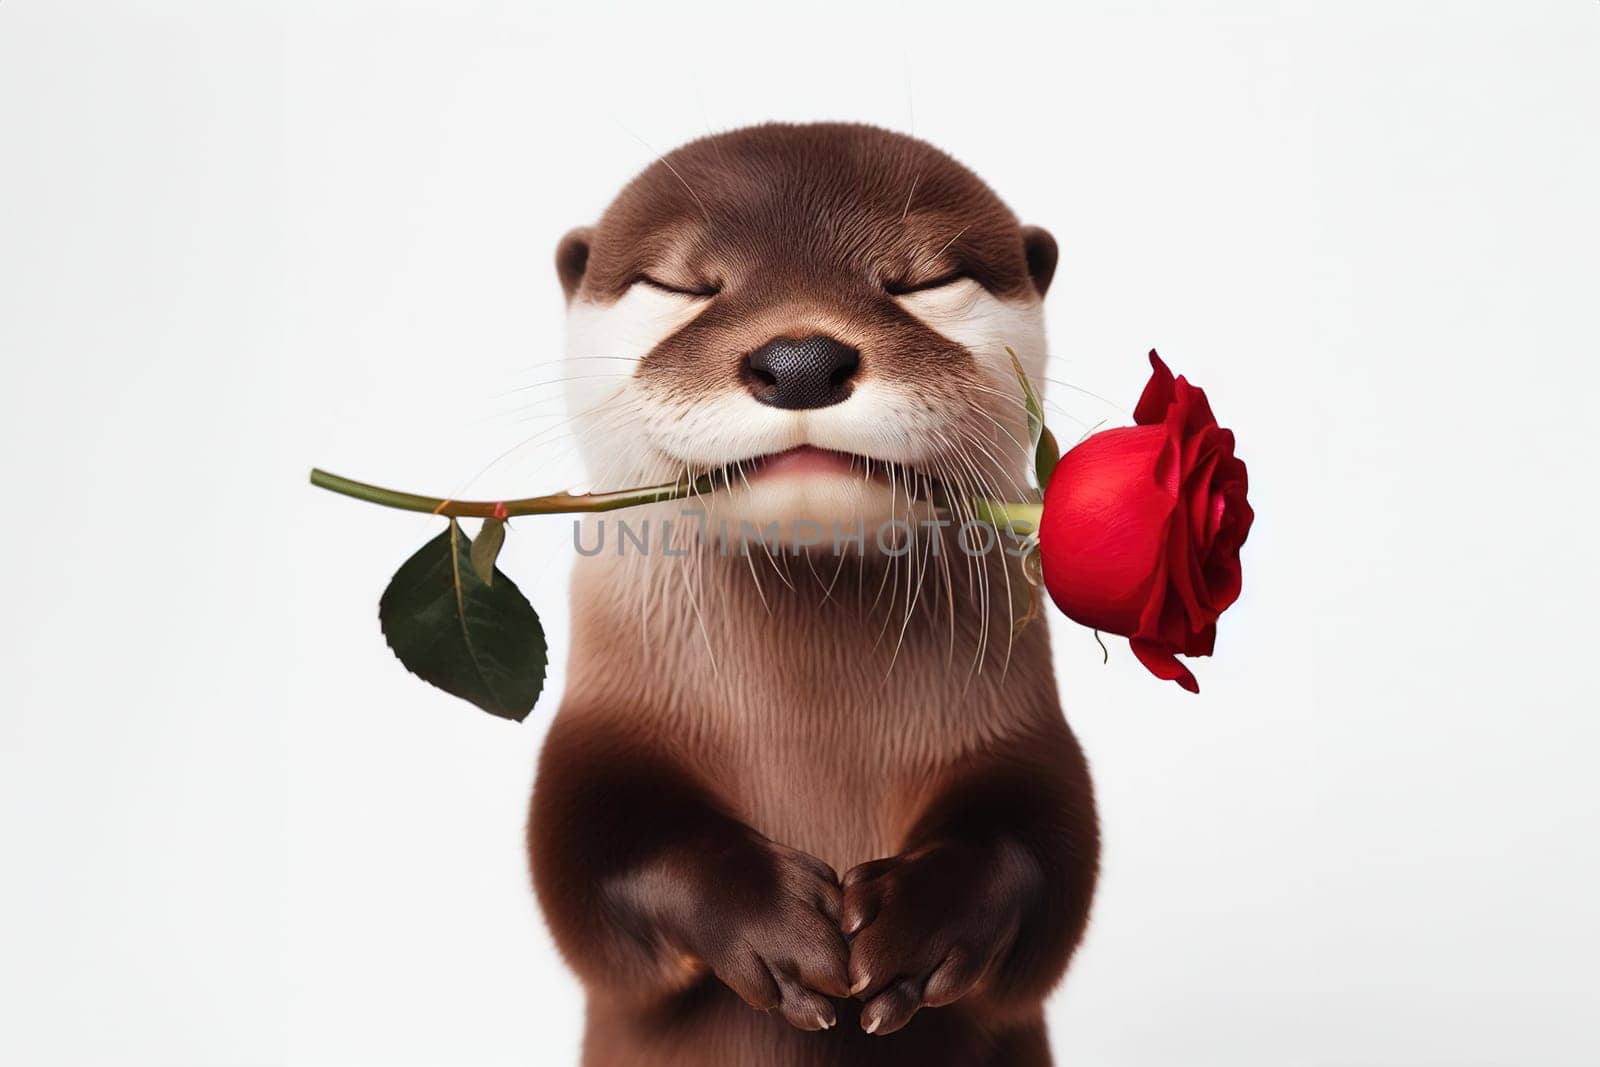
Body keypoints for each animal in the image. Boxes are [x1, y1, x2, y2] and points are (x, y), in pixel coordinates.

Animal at [531, 120, 1094, 1062]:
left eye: (923, 281)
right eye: (684, 285)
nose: (800, 360)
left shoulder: (1025, 732)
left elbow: (1048, 855)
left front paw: (917, 920)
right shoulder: (596, 733)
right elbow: (587, 863)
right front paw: (769, 921)